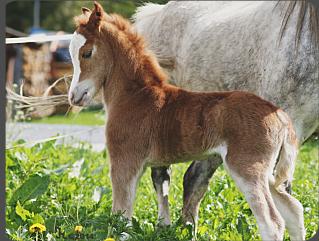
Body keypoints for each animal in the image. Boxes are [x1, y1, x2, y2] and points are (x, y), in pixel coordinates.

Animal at [69, 2, 306, 241]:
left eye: (86, 53)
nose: (74, 96)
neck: (136, 96)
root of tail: (280, 116)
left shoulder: (124, 161)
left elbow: (121, 216)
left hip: (247, 168)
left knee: (272, 222)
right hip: (269, 173)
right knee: (294, 210)